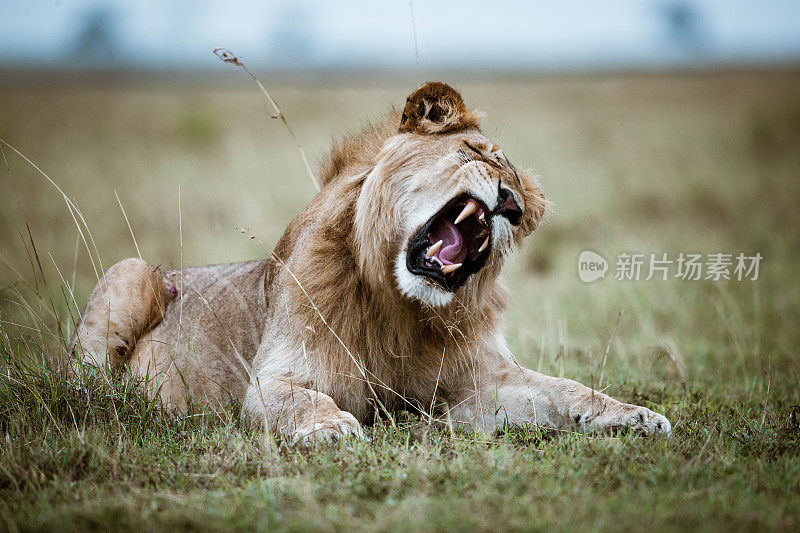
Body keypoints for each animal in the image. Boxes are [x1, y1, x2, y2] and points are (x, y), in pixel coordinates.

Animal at [70, 81, 668, 442]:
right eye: (474, 154)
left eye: (521, 204)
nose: (512, 205)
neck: (398, 305)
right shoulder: (270, 382)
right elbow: (298, 401)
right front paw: (332, 429)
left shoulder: (478, 385)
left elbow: (567, 389)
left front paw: (635, 414)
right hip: (130, 273)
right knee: (86, 383)